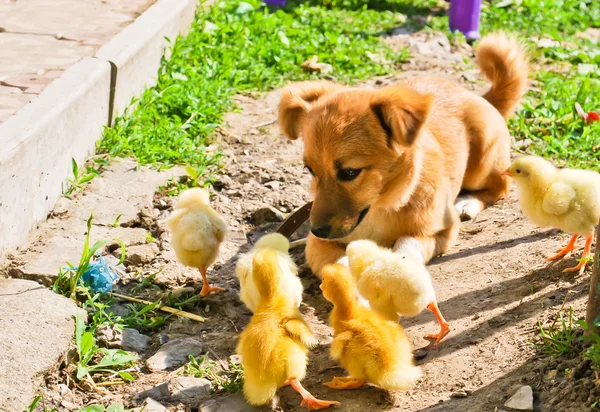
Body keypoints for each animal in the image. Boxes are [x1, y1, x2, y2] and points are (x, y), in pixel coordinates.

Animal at [278, 33, 528, 276]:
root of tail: (480, 97)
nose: (317, 230)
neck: (381, 208)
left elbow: (407, 245)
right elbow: (337, 262)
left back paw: (467, 202)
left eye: (349, 172)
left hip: (482, 161)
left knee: (501, 186)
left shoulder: (440, 231)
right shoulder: (315, 246)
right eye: (310, 170)